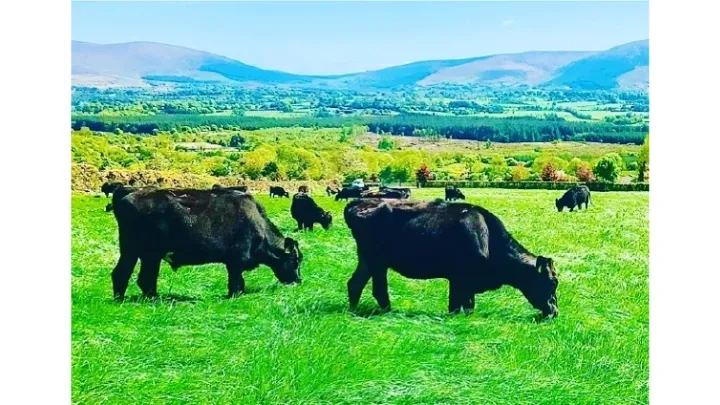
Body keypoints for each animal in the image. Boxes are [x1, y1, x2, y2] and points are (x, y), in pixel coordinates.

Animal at [108, 186, 302, 300]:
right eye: (296, 260)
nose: (299, 280)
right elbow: (236, 282)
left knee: (140, 277)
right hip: (138, 252)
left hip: (145, 255)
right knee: (126, 274)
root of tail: (128, 194)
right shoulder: (236, 261)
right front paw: (235, 295)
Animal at [346, 199, 560, 318]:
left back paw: (352, 311)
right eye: (552, 283)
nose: (554, 311)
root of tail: (357, 204)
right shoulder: (459, 279)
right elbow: (458, 305)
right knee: (378, 289)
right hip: (377, 262)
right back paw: (388, 312)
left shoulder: (465, 282)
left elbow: (467, 305)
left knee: (354, 283)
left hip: (366, 260)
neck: (488, 237)